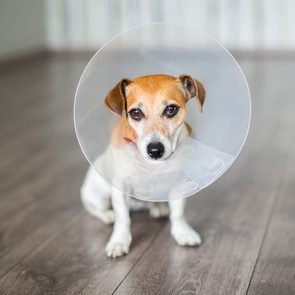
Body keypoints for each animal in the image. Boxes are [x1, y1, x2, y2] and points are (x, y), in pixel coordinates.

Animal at [80, 74, 206, 260]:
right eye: (135, 113)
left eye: (171, 109)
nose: (155, 150)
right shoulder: (120, 188)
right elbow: (123, 218)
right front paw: (119, 242)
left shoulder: (179, 184)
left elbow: (178, 213)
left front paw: (183, 233)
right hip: (98, 195)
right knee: (94, 208)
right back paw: (108, 215)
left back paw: (157, 207)